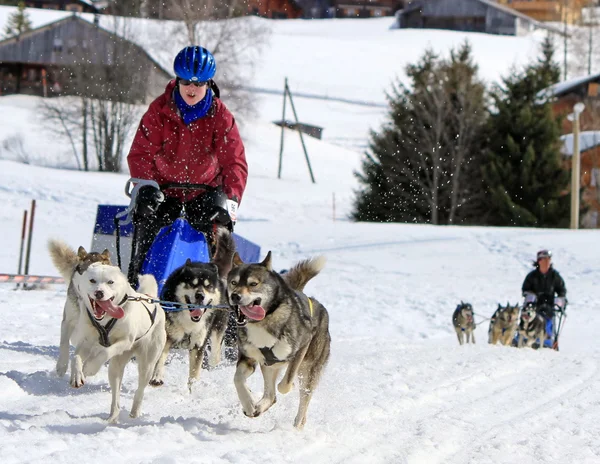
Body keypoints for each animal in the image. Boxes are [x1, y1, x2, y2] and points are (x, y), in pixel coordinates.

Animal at [227, 252, 330, 430]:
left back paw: (297, 425)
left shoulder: (301, 347)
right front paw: (249, 403)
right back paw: (258, 407)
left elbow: (285, 384)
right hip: (268, 365)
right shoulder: (248, 357)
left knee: (303, 399)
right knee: (271, 395)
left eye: (253, 284)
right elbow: (238, 379)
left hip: (309, 370)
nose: (235, 296)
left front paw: (289, 386)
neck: (264, 320)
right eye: (233, 282)